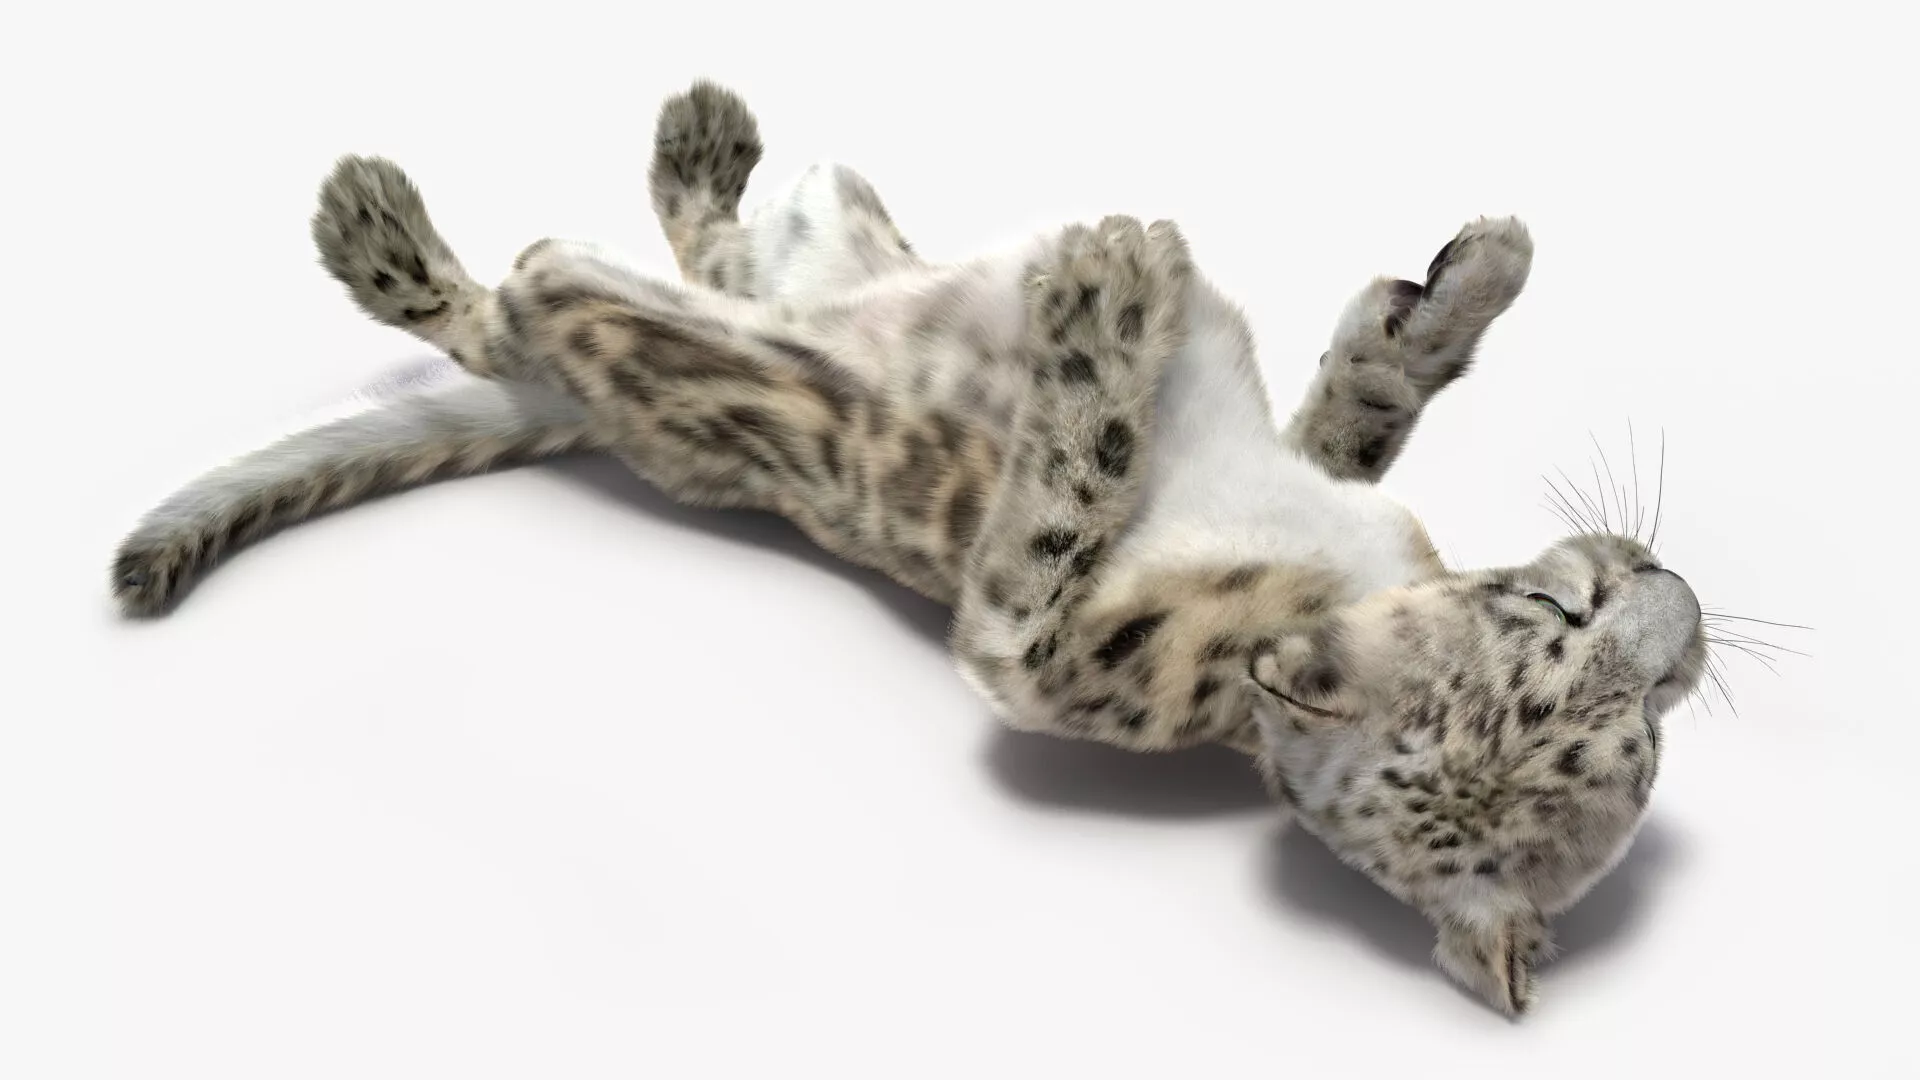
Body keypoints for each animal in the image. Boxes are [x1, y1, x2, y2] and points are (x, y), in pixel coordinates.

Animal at [108, 81, 1709, 1017]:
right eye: (1562, 634)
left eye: (1632, 731)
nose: (1680, 614)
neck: (1354, 577)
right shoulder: (1333, 481)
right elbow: (1359, 402)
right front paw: (1465, 282)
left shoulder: (1027, 662)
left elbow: (1050, 525)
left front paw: (1108, 301)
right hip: (821, 236)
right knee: (706, 251)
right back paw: (688, 134)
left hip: (647, 372)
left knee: (524, 306)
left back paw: (420, 233)